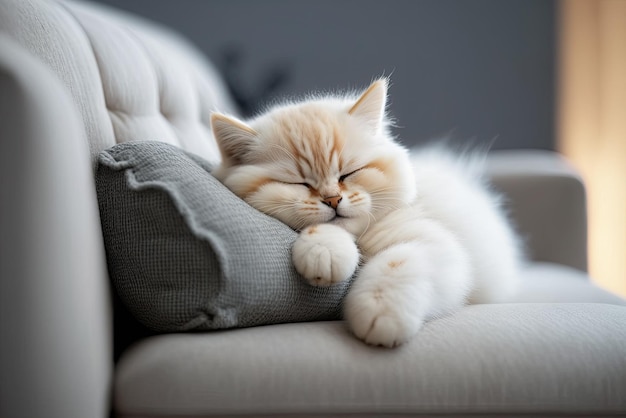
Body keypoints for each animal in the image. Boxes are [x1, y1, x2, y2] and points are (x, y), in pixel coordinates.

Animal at [207, 78, 520, 346]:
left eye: (349, 173)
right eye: (299, 183)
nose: (333, 199)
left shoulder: (432, 244)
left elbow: (396, 265)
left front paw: (380, 314)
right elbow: (324, 233)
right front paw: (325, 255)